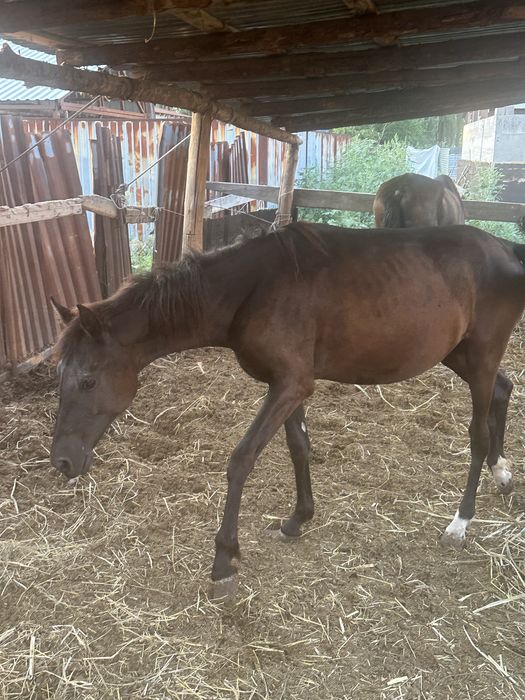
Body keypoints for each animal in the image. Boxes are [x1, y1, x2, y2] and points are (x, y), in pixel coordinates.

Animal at [50, 222, 520, 598]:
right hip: (460, 355)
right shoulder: (289, 386)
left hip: (480, 355)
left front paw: (224, 560)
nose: (62, 461)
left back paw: (460, 523)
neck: (254, 289)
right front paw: (299, 518)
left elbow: (241, 460)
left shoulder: (291, 385)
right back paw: (502, 473)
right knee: (504, 389)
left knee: (478, 434)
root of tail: (505, 248)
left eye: (88, 380)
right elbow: (298, 448)